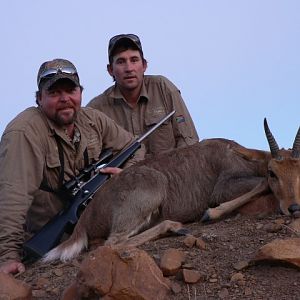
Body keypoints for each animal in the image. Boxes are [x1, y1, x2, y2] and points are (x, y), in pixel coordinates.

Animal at [42, 118, 300, 262]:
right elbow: (260, 184)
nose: (293, 207)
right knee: (112, 243)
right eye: (273, 172)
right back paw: (176, 227)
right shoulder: (222, 189)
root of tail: (86, 215)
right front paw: (210, 214)